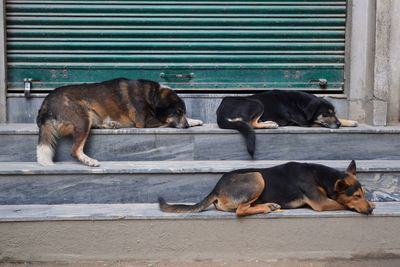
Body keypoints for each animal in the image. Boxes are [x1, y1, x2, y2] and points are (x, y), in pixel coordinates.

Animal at [159, 161, 376, 218]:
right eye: (356, 196)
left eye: (363, 194)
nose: (371, 211)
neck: (321, 176)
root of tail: (216, 187)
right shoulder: (322, 203)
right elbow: (343, 204)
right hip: (257, 177)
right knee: (240, 211)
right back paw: (266, 207)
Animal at [217, 90, 358, 157]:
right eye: (325, 114)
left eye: (334, 113)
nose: (338, 124)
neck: (300, 103)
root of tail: (220, 112)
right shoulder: (305, 121)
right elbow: (319, 123)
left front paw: (350, 121)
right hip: (257, 103)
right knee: (250, 123)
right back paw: (270, 124)